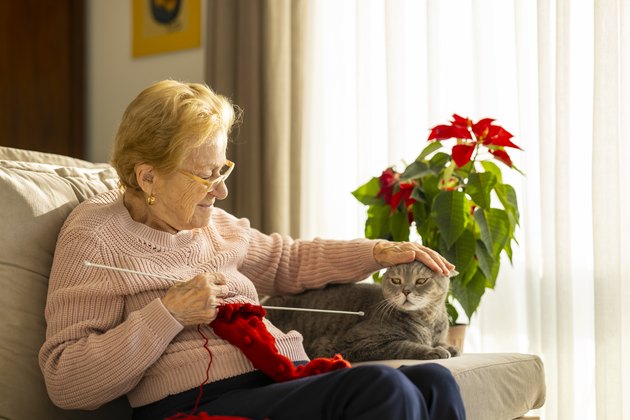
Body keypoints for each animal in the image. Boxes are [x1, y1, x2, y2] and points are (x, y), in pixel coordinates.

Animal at [264, 260, 462, 362]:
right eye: (396, 281)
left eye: (421, 281)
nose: (406, 291)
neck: (427, 321)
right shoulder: (358, 343)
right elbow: (404, 345)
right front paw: (433, 351)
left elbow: (443, 343)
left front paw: (450, 347)